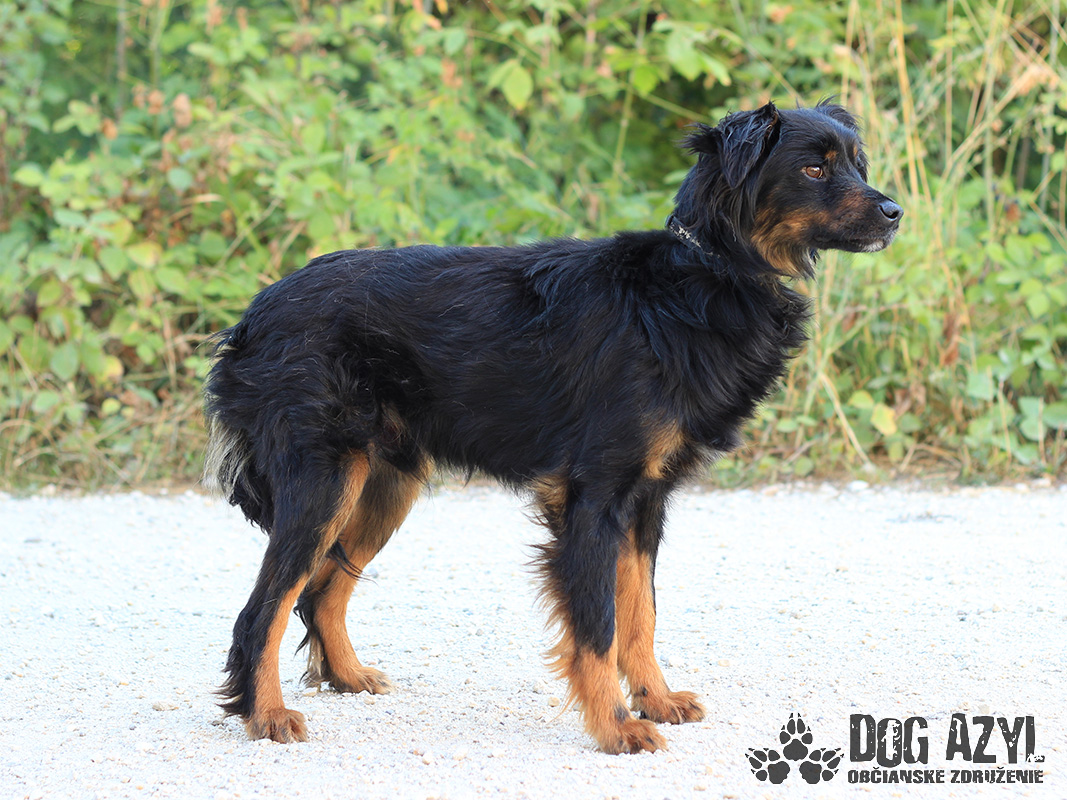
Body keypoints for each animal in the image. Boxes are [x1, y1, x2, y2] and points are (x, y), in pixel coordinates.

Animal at [202, 100, 901, 754]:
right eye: (814, 169)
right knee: (262, 610)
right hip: (325, 483)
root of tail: (256, 314)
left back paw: (346, 677)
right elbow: (598, 626)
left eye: (857, 164)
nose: (896, 212)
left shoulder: (644, 502)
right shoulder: (592, 497)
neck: (700, 277)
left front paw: (656, 700)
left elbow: (640, 616)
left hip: (382, 487)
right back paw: (266, 715)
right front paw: (617, 727)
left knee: (321, 592)